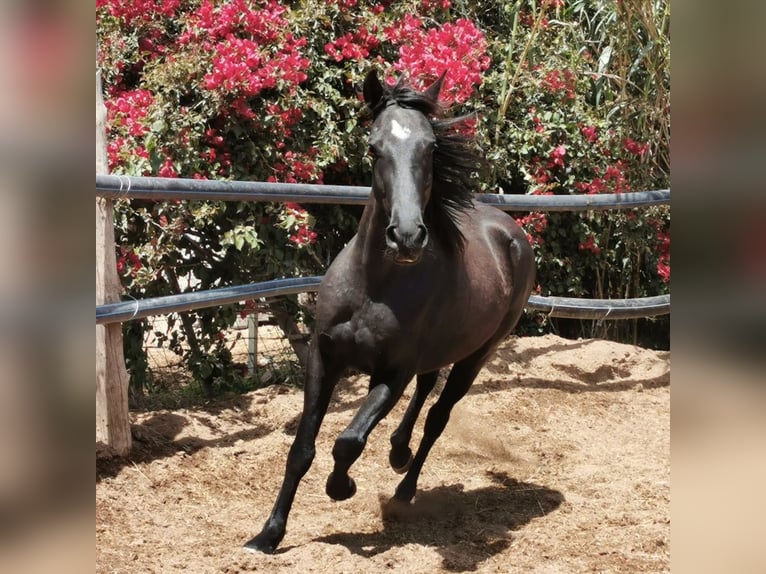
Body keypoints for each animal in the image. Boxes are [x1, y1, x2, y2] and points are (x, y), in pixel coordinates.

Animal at [246, 70, 536, 556]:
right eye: (373, 147)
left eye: (431, 148)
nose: (406, 236)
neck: (372, 289)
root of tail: (511, 233)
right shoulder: (324, 359)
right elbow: (302, 448)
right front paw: (267, 535)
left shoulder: (391, 374)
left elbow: (347, 441)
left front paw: (341, 487)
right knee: (426, 390)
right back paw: (399, 453)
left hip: (475, 357)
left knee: (437, 417)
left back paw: (404, 488)